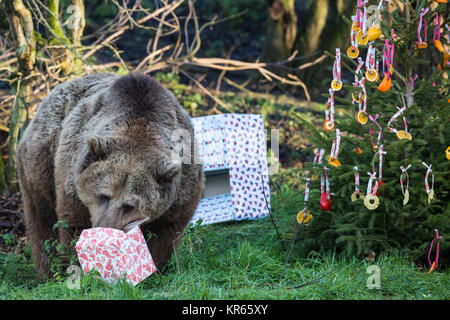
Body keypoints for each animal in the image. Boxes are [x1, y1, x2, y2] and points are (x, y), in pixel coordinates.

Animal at [17, 72, 204, 278]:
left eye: (129, 205)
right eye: (103, 195)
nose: (105, 226)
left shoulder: (181, 189)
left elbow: (165, 233)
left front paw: (154, 268)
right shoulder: (73, 177)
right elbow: (72, 225)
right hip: (43, 160)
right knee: (42, 219)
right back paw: (48, 271)